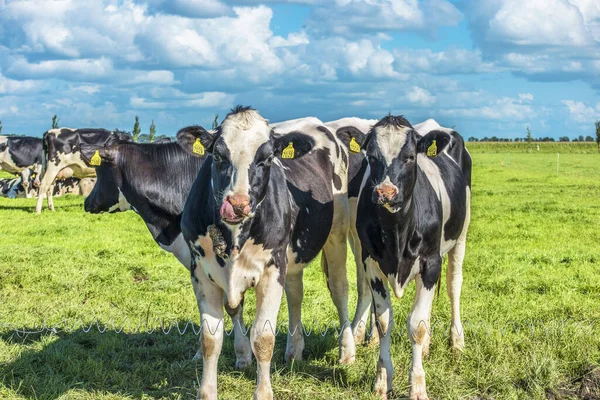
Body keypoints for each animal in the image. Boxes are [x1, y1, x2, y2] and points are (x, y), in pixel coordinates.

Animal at [177, 106, 356, 400]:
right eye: (218, 155)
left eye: (268, 158)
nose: (237, 204)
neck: (234, 236)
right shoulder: (201, 272)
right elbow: (210, 339)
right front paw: (207, 391)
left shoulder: (272, 271)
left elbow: (263, 337)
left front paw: (263, 392)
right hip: (291, 258)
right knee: (295, 294)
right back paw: (294, 350)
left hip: (336, 235)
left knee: (340, 290)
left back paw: (347, 352)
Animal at [354, 114, 472, 398]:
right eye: (371, 156)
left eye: (409, 157)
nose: (385, 192)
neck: (396, 230)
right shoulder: (370, 263)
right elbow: (384, 321)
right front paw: (382, 380)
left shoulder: (431, 263)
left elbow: (416, 325)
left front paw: (417, 385)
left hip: (460, 236)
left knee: (454, 286)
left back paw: (457, 341)